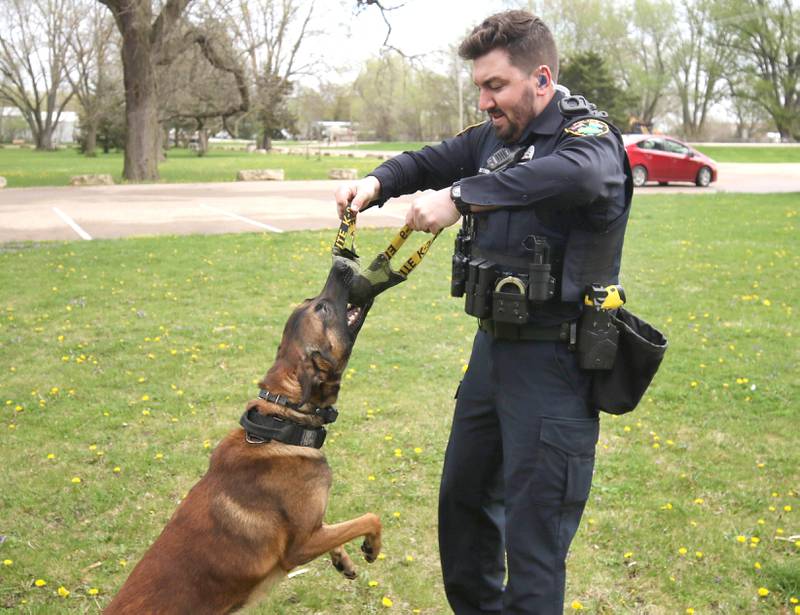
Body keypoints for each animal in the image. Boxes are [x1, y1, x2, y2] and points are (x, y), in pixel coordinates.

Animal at [105, 262, 382, 615]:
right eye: (322, 308)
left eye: (312, 300)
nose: (341, 264)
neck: (279, 424)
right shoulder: (301, 546)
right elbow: (369, 518)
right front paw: (372, 546)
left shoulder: (315, 528)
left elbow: (333, 526)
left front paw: (342, 559)